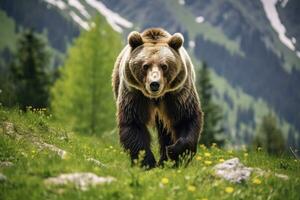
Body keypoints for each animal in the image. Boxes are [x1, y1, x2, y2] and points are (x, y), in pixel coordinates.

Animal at [112, 27, 204, 169]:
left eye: (164, 66)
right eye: (145, 66)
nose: (154, 84)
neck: (156, 97)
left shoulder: (177, 94)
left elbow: (186, 118)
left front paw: (174, 152)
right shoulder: (135, 94)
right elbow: (134, 123)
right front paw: (147, 162)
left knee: (166, 130)